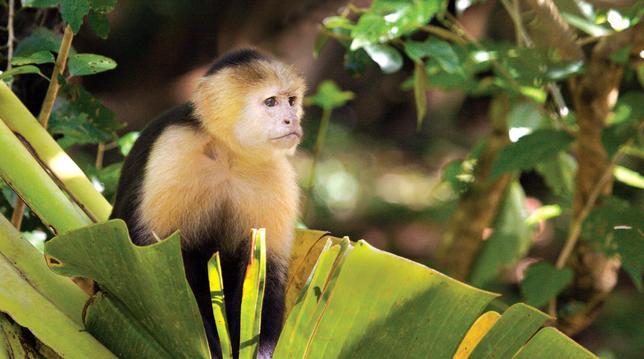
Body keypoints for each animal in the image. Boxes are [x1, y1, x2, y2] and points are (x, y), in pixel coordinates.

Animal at [110, 48, 304, 359]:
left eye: (292, 101)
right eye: (271, 102)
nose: (291, 120)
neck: (229, 155)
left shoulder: (276, 176)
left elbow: (266, 270)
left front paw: (260, 351)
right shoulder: (175, 148)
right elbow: (152, 255)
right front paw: (209, 344)